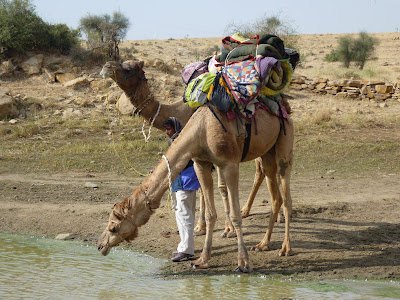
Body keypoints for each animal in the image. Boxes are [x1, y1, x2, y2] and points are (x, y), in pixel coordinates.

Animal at [97, 61, 294, 272]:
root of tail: (283, 103)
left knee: (285, 190)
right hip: (266, 151)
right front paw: (202, 259)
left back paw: (285, 248)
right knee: (273, 191)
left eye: (113, 227)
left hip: (284, 141)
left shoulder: (229, 164)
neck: (201, 129)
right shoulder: (201, 163)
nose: (100, 245)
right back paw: (263, 244)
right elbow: (209, 213)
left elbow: (232, 212)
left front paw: (242, 261)